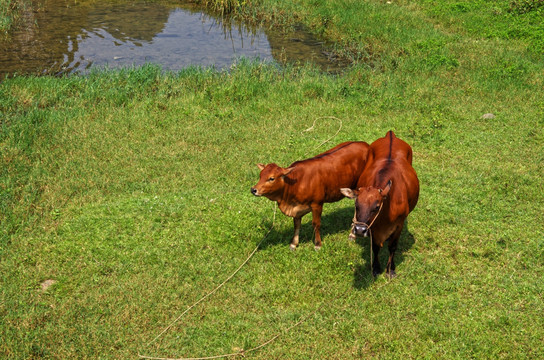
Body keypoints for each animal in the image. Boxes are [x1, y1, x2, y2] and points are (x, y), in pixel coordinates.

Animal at [340, 131, 420, 278]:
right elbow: (375, 247)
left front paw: (390, 269)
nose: (359, 230)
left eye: (376, 207)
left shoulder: (399, 224)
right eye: (356, 205)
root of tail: (390, 135)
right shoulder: (373, 227)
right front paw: (376, 268)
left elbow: (393, 246)